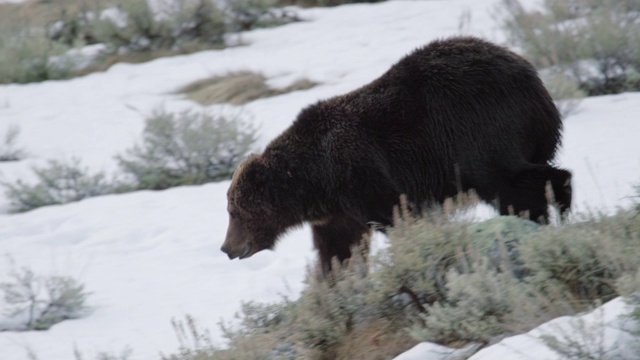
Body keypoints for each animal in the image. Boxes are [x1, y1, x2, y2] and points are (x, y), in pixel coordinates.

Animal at [222, 35, 572, 272]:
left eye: (235, 212)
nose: (227, 247)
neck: (315, 181)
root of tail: (530, 75)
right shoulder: (337, 213)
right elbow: (338, 249)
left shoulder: (363, 174)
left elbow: (398, 216)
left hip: (476, 129)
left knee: (514, 182)